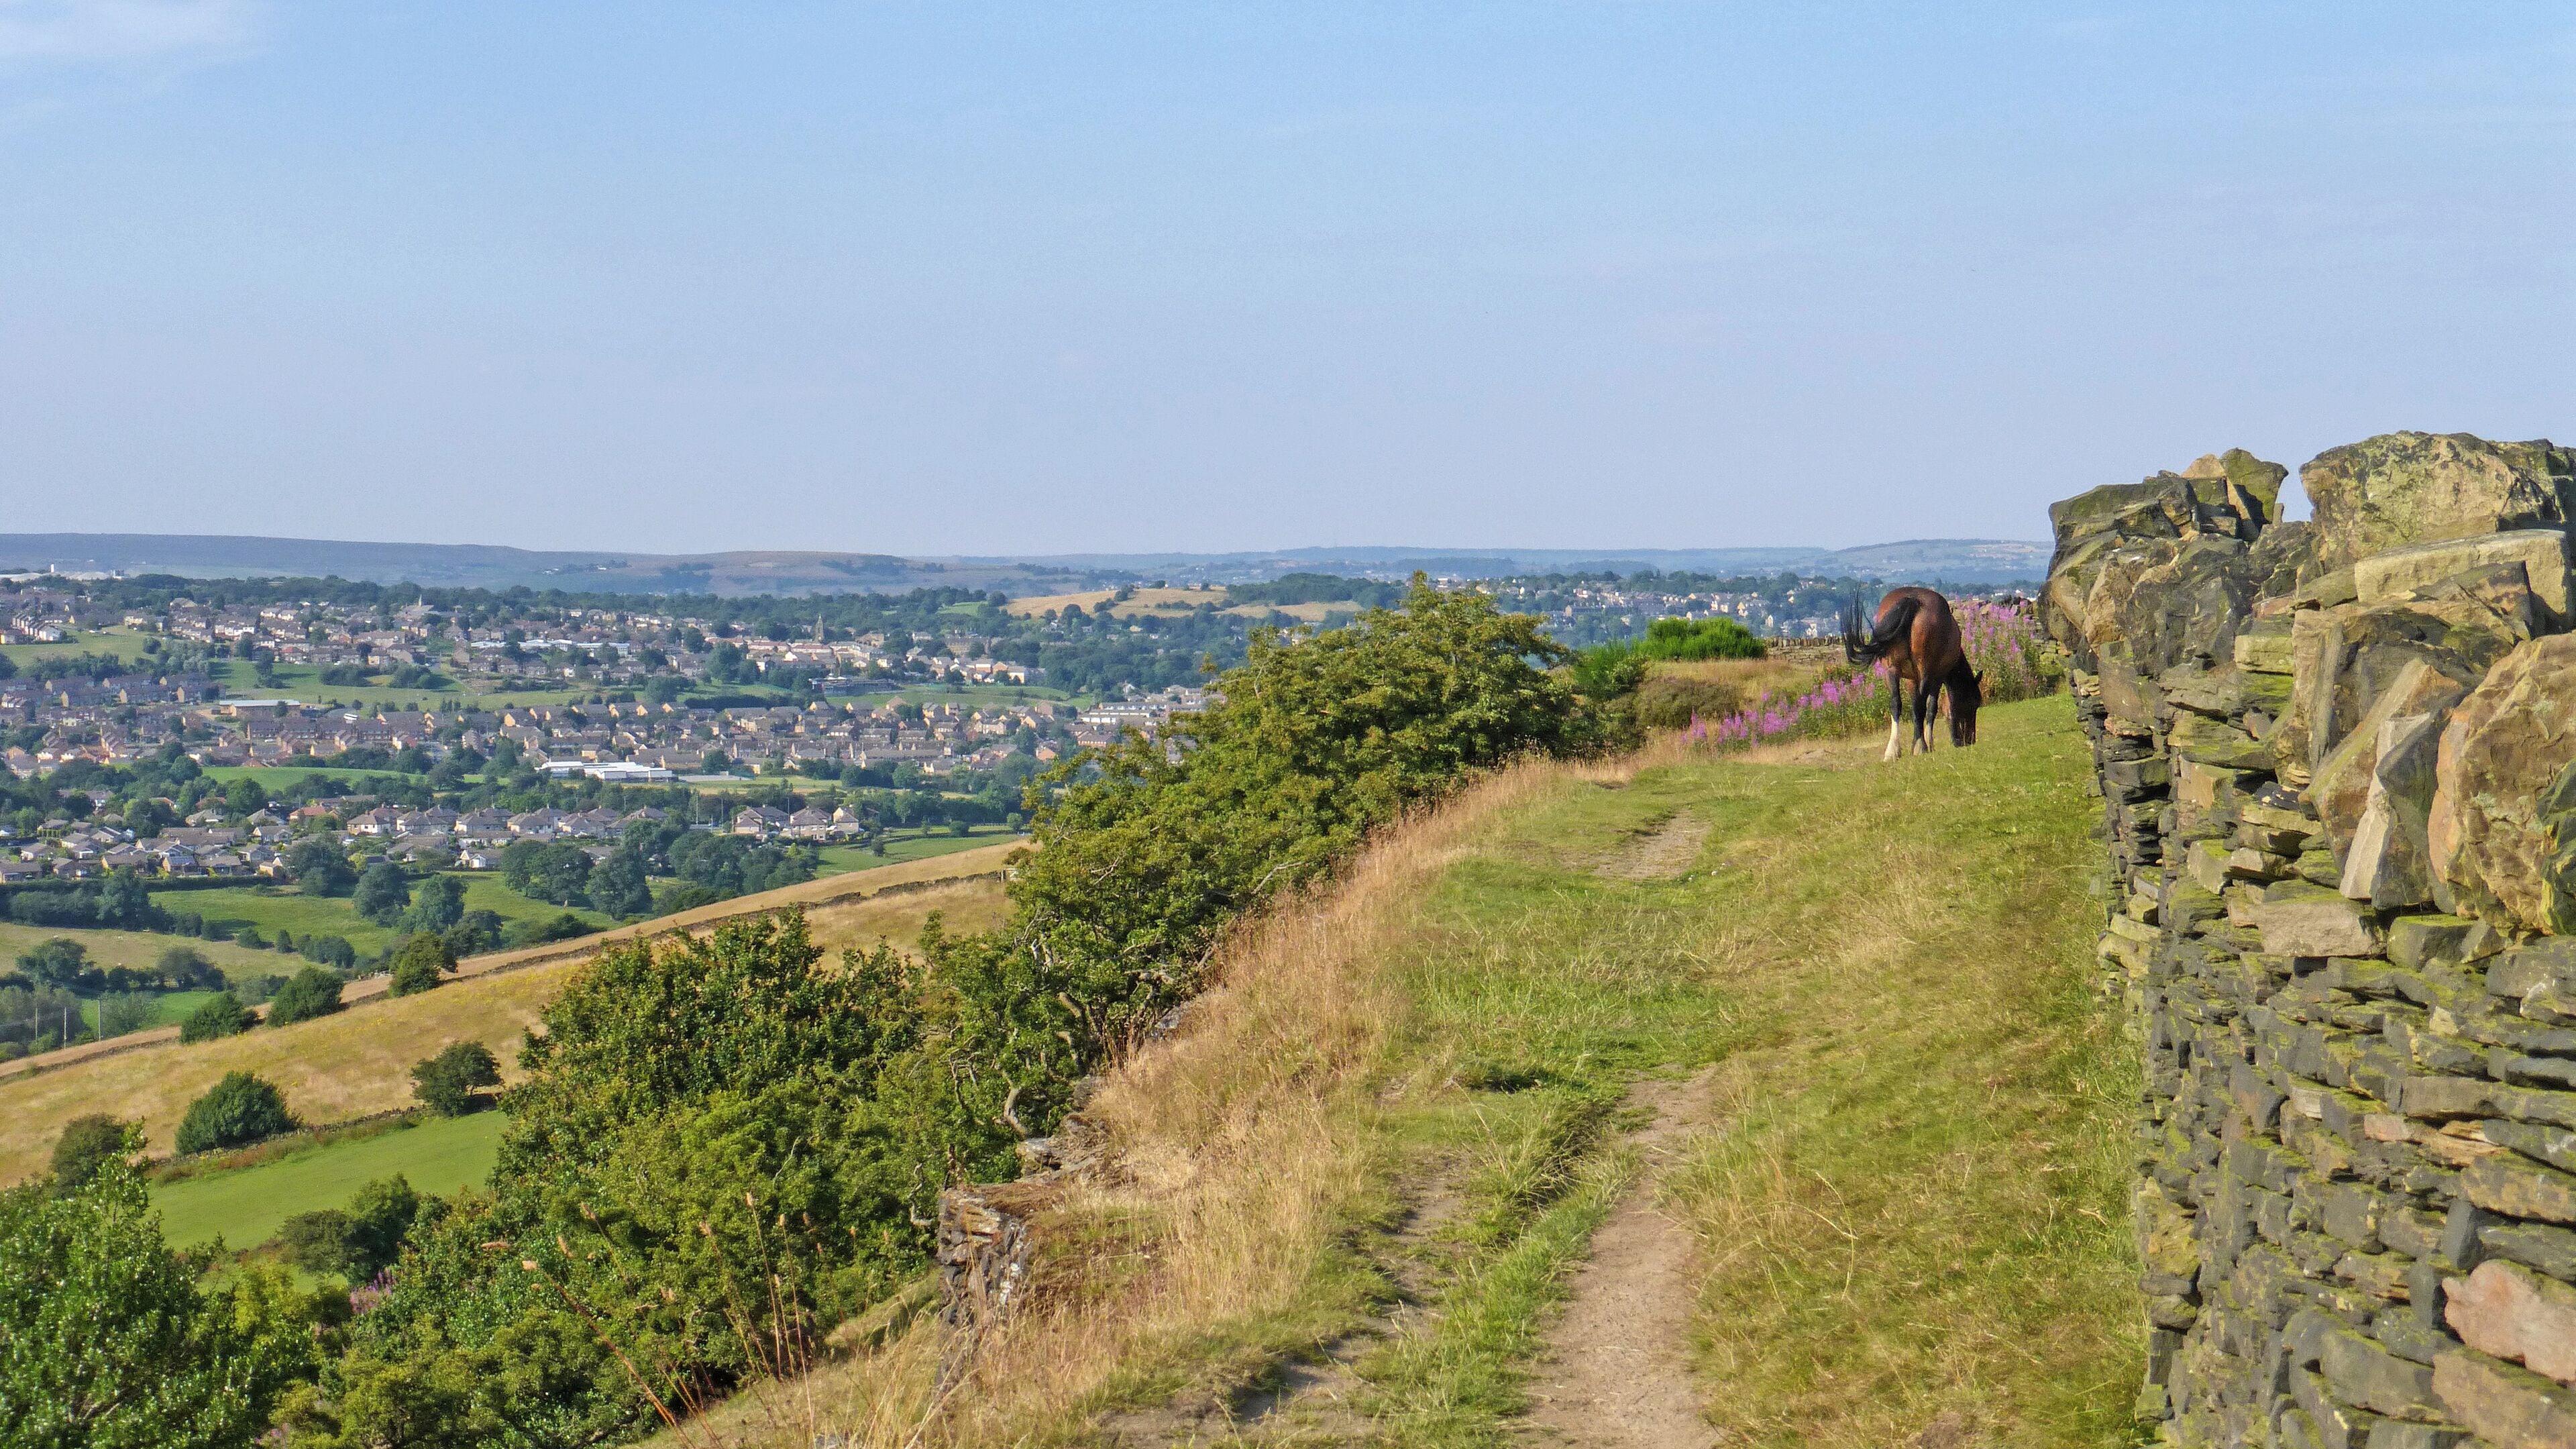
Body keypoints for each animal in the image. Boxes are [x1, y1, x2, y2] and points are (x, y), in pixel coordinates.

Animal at [1841, 587, 1983, 759]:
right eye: (1974, 703)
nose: (1970, 739)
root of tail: (1913, 600)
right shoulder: (1937, 679)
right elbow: (1932, 708)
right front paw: (1929, 743)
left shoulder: (1911, 680)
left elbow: (1914, 707)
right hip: (1924, 672)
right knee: (1921, 706)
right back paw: (1920, 746)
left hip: (1891, 671)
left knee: (1896, 703)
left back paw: (1893, 750)